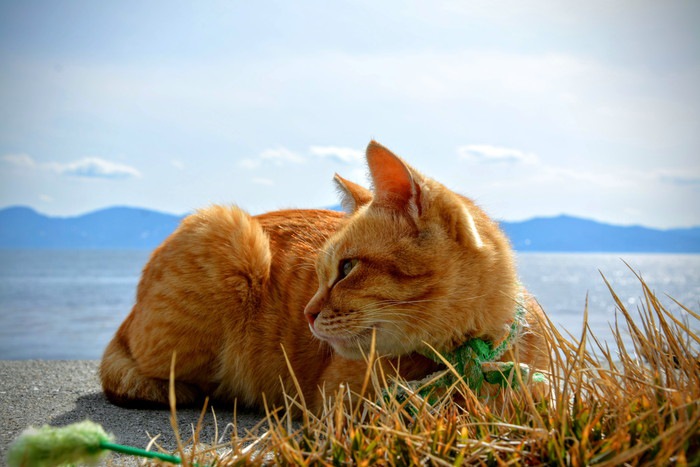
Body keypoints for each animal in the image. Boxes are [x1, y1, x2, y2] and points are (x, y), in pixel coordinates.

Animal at [100, 141, 548, 412]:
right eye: (318, 274)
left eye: (346, 269)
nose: (308, 313)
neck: (465, 356)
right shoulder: (337, 404)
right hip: (225, 231)